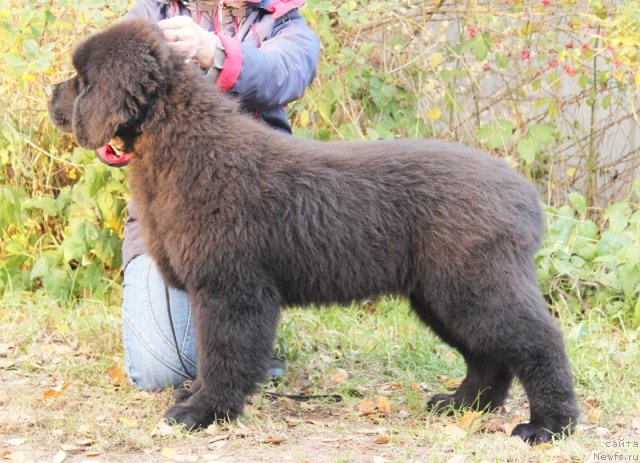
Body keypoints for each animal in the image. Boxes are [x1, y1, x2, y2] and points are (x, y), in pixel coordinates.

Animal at [47, 19, 580, 446]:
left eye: (82, 80)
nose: (50, 94)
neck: (184, 145)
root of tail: (525, 195)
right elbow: (210, 355)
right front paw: (195, 397)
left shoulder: (230, 289)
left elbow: (222, 354)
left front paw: (202, 412)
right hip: (440, 295)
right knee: (489, 356)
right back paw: (463, 405)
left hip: (473, 285)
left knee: (540, 343)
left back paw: (549, 426)